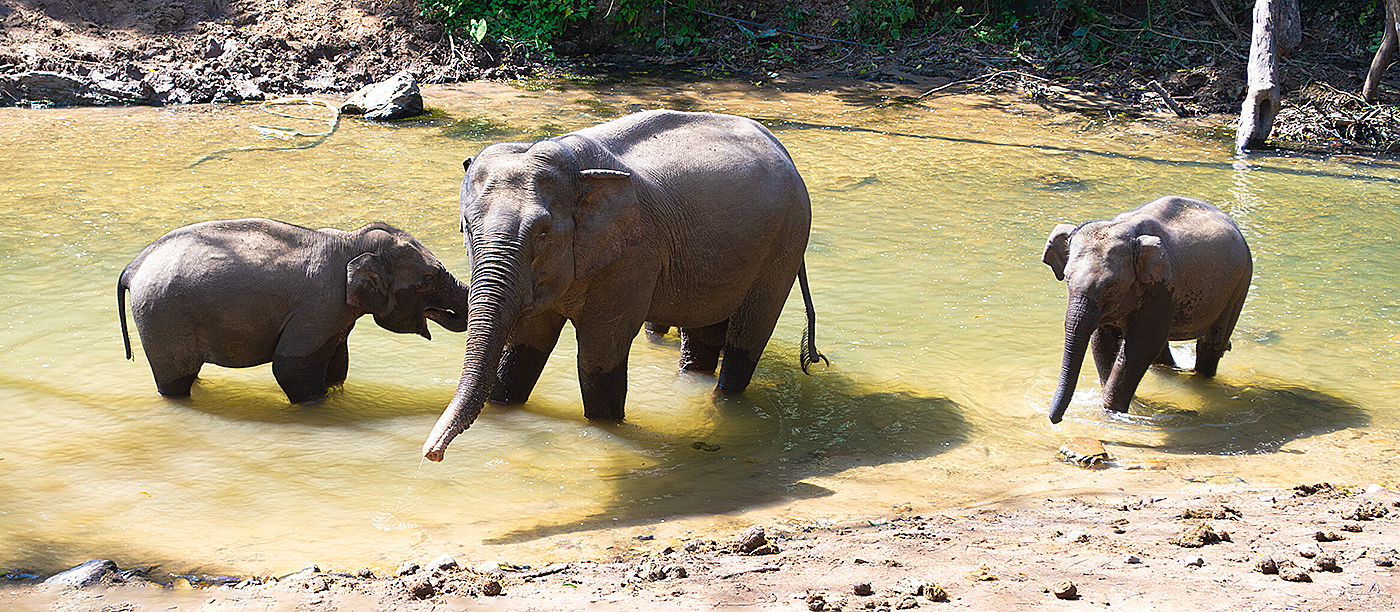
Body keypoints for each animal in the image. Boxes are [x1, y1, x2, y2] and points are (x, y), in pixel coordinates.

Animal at [117, 217, 467, 403]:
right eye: (429, 278)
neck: (351, 240)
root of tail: (133, 266)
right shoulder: (318, 308)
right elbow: (291, 368)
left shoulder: (335, 318)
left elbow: (337, 367)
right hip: (163, 313)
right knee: (175, 379)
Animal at [420, 110, 823, 462]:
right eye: (467, 226)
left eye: (543, 232)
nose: (432, 453)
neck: (576, 167)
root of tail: (780, 146)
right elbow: (523, 346)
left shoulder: (633, 255)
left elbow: (601, 349)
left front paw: (605, 429)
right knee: (704, 330)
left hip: (786, 242)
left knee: (748, 335)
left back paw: (721, 403)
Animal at [1041, 197, 1260, 422]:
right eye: (1067, 279)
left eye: (1111, 287)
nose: (1054, 420)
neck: (1126, 229)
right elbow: (1102, 341)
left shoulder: (1162, 287)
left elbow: (1140, 346)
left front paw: (1111, 412)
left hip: (1241, 282)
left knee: (1212, 344)